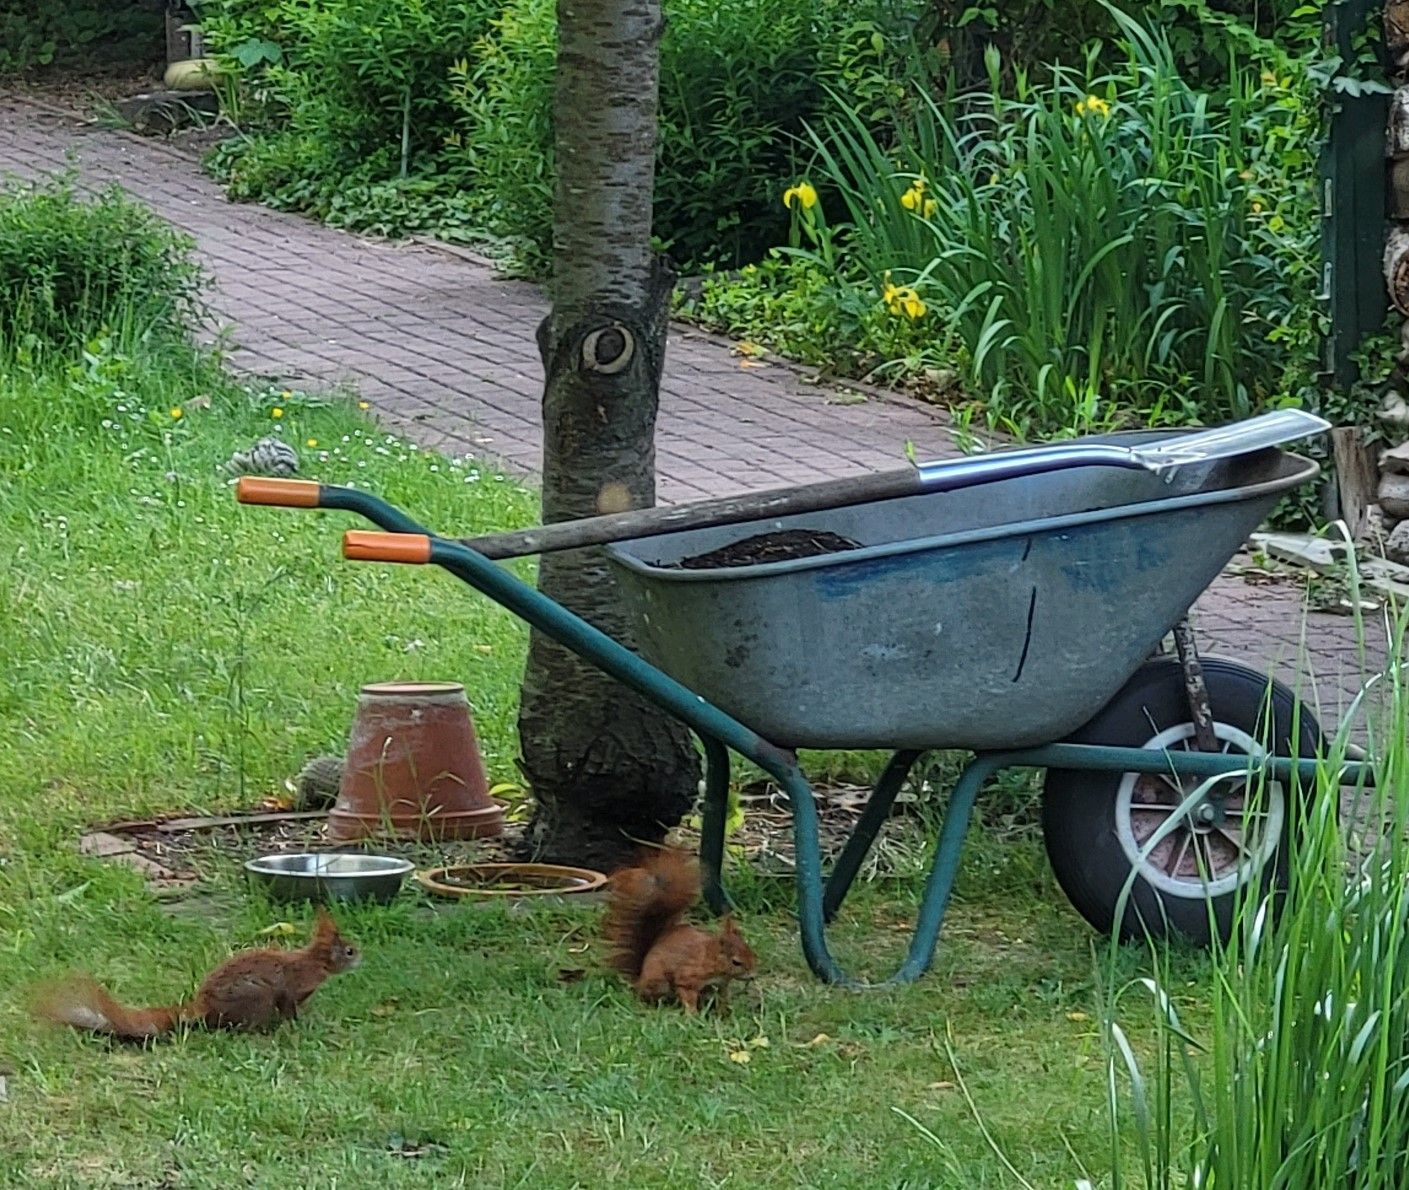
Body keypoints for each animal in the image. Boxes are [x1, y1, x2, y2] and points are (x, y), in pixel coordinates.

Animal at [30, 909, 360, 1041]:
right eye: (349, 951)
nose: (362, 956)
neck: (314, 962)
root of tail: (203, 1006)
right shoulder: (290, 989)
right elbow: (290, 1007)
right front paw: (298, 1026)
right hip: (257, 998)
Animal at [602, 847, 756, 1013]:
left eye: (752, 952)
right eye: (736, 962)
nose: (753, 975)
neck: (710, 958)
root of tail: (639, 977)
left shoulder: (721, 984)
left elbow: (723, 997)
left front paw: (725, 1012)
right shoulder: (688, 977)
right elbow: (687, 994)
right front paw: (693, 1015)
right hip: (658, 982)